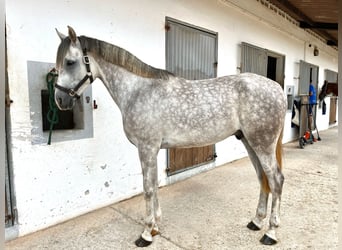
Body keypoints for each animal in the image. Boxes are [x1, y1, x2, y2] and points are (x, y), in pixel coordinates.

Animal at [54, 26, 288, 246]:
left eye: (70, 62)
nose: (59, 100)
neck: (138, 91)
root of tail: (277, 89)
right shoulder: (153, 150)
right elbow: (154, 184)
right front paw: (156, 227)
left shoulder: (146, 148)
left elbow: (148, 188)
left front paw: (146, 233)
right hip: (250, 142)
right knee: (262, 178)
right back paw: (256, 222)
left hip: (262, 145)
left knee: (276, 180)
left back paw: (270, 232)